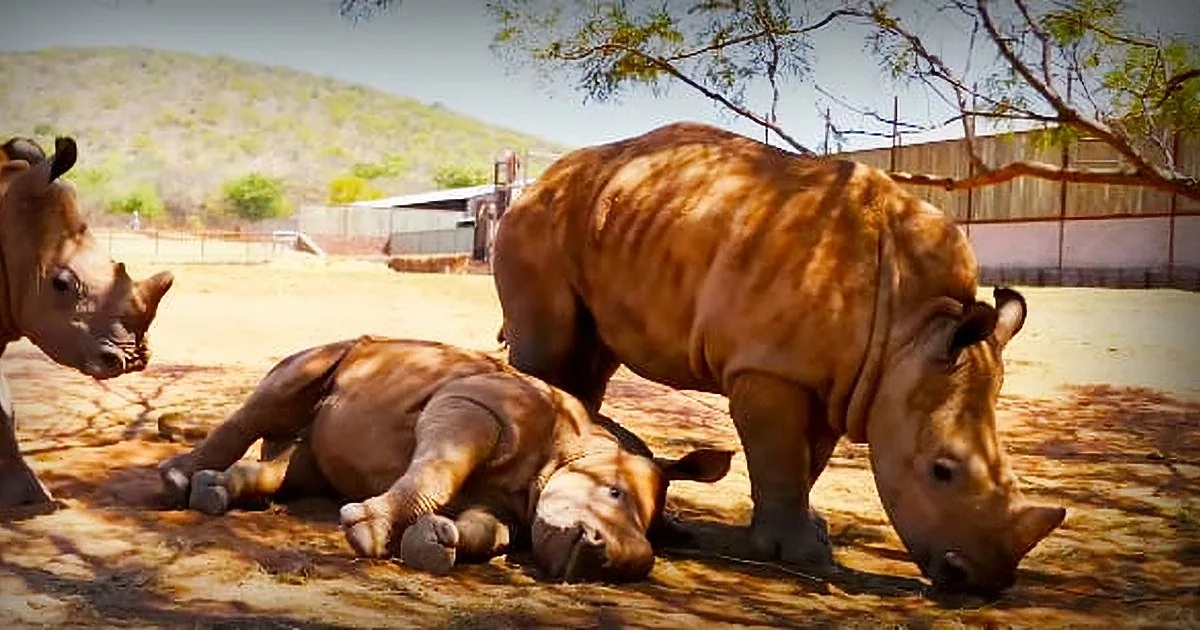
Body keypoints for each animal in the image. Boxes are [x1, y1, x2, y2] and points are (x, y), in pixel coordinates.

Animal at [157, 336, 733, 582]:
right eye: (612, 492)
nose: (613, 562)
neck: (578, 445)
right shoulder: (473, 406)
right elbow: (438, 470)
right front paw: (369, 533)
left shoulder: (513, 505)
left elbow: (490, 531)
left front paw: (436, 543)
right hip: (340, 350)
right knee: (283, 390)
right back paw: (175, 484)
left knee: (299, 463)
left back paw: (213, 491)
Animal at [490, 121, 1066, 595]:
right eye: (942, 471)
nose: (985, 582)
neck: (912, 330)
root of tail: (536, 183)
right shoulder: (767, 365)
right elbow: (780, 455)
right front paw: (800, 556)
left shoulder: (844, 380)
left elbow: (808, 458)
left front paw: (808, 535)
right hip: (536, 223)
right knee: (551, 343)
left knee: (596, 354)